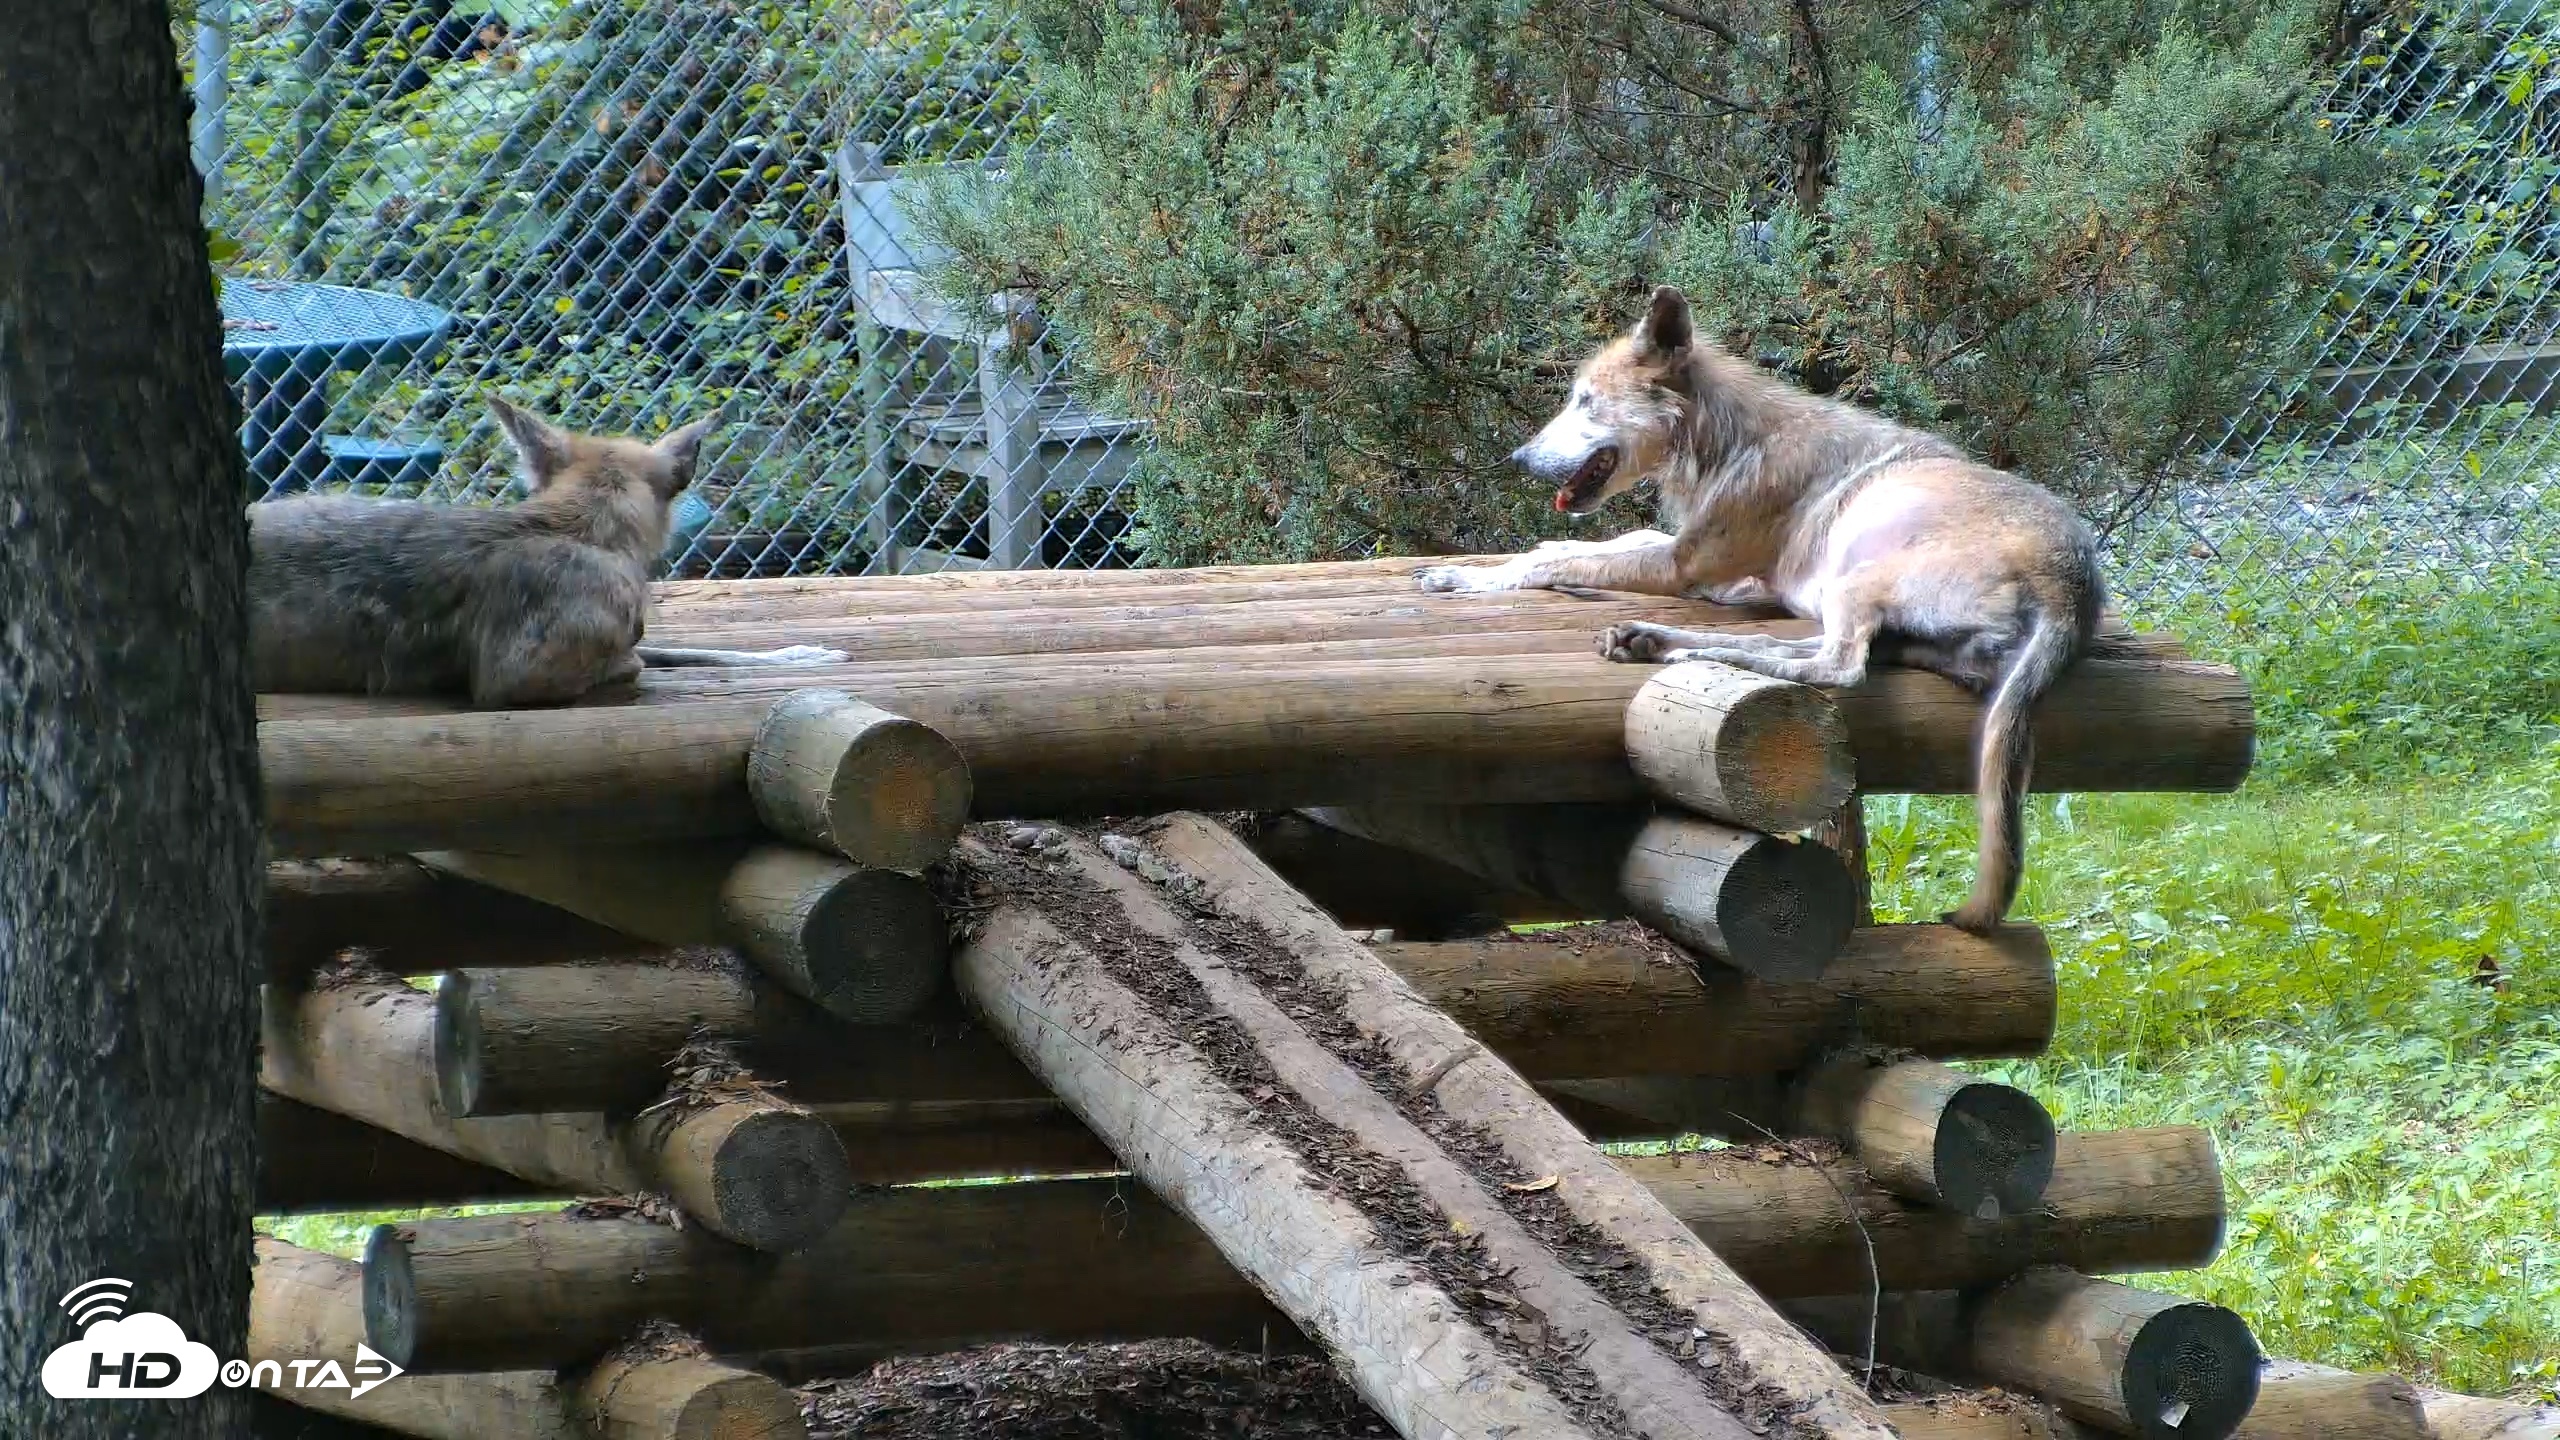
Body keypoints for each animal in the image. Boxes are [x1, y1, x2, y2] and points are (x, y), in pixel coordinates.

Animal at [1413, 286, 2103, 933]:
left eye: (1584, 400)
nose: (1517, 459)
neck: (1723, 440)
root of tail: (2076, 587)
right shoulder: (1718, 573)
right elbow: (1597, 541)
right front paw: (1508, 557)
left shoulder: (1688, 569)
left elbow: (1556, 564)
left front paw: (1468, 577)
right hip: (1867, 614)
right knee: (1795, 650)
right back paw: (1662, 642)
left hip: (1856, 580)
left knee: (1836, 666)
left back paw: (1682, 647)